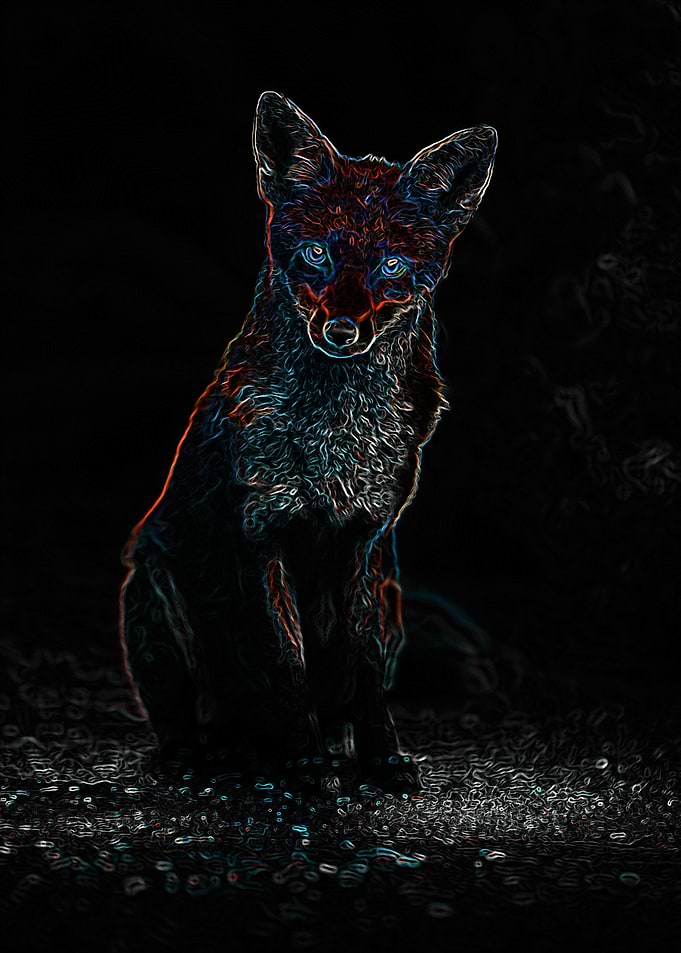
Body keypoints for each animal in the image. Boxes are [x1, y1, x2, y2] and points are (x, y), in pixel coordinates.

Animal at [119, 91, 496, 793]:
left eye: (391, 265)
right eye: (318, 253)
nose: (343, 331)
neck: (335, 439)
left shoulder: (365, 542)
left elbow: (364, 665)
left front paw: (380, 759)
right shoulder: (263, 535)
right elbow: (286, 661)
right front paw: (306, 765)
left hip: (394, 597)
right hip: (151, 589)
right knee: (188, 721)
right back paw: (212, 755)